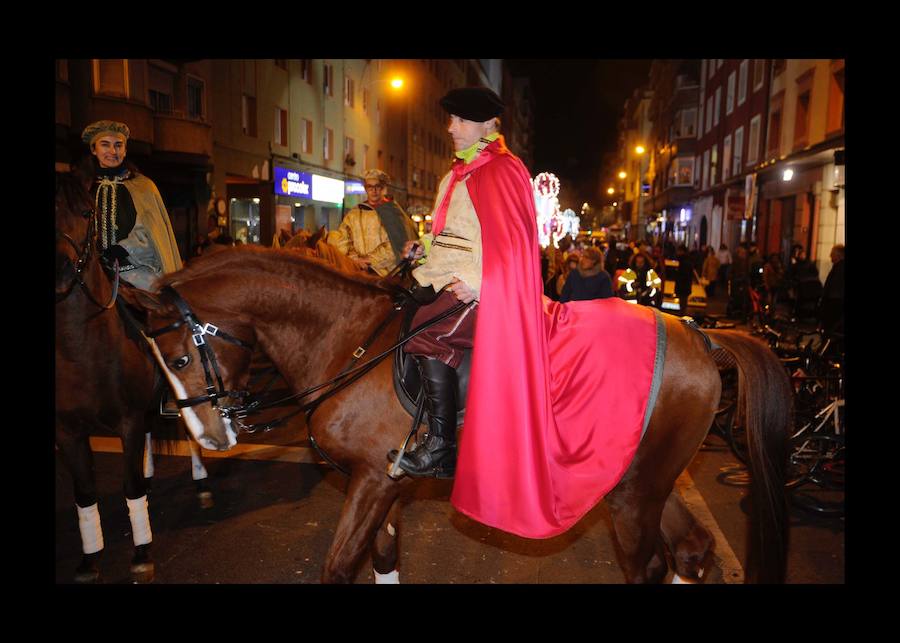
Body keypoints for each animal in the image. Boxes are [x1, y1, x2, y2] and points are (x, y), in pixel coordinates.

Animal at [55, 171, 214, 584]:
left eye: (86, 213)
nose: (59, 268)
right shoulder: (68, 431)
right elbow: (84, 493)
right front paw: (89, 559)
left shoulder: (126, 421)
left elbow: (129, 486)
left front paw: (141, 553)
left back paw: (201, 484)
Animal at [128, 245, 796, 584]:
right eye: (158, 360)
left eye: (181, 356)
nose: (209, 437)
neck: (353, 343)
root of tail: (698, 334)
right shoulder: (385, 489)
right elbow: (384, 559)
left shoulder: (371, 483)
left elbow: (339, 567)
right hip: (641, 481)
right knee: (691, 549)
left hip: (634, 496)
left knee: (651, 564)